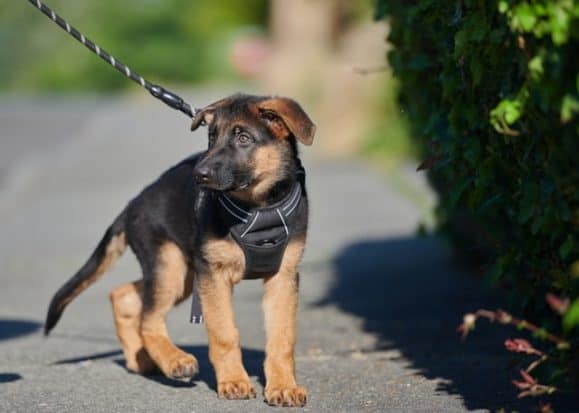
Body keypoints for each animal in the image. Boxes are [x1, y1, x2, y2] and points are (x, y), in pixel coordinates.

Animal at [44, 93, 318, 406]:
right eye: (211, 137)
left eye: (244, 138)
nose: (200, 174)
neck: (258, 207)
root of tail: (131, 206)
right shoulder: (213, 275)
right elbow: (224, 333)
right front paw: (234, 381)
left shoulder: (283, 276)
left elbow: (282, 338)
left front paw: (283, 386)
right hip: (172, 269)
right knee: (148, 319)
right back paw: (175, 360)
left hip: (182, 273)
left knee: (124, 295)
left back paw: (141, 359)